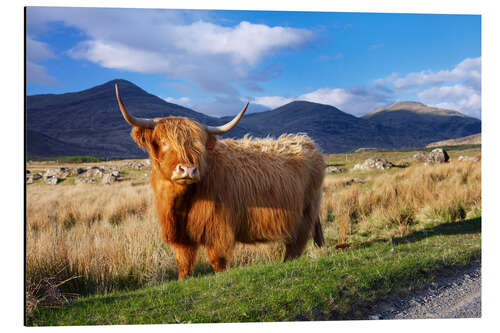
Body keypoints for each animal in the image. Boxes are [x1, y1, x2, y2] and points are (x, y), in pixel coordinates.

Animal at [115, 84, 326, 278]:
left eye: (199, 145)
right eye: (165, 142)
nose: (189, 169)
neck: (181, 202)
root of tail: (306, 142)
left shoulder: (219, 229)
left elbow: (218, 261)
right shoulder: (181, 235)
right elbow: (184, 264)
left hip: (305, 214)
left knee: (295, 247)